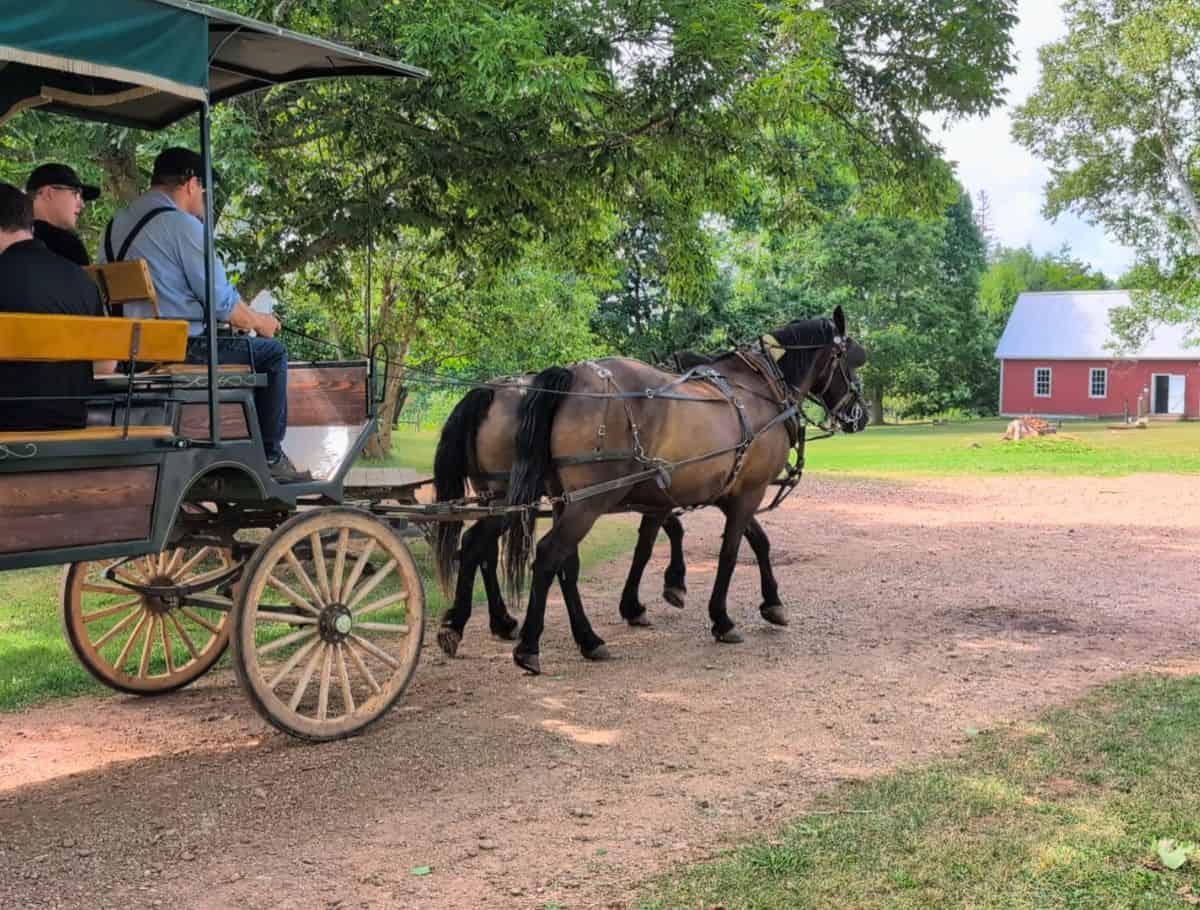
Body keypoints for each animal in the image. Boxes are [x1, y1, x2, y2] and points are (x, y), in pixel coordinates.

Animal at [502, 306, 868, 674]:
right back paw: (529, 646)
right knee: (549, 555)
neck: (761, 387)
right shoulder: (750, 492)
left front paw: (772, 603)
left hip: (566, 501)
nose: (860, 415)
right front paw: (722, 619)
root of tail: (573, 376)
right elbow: (730, 553)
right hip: (589, 501)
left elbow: (757, 543)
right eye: (851, 359)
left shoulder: (729, 491)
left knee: (568, 564)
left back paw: (588, 639)